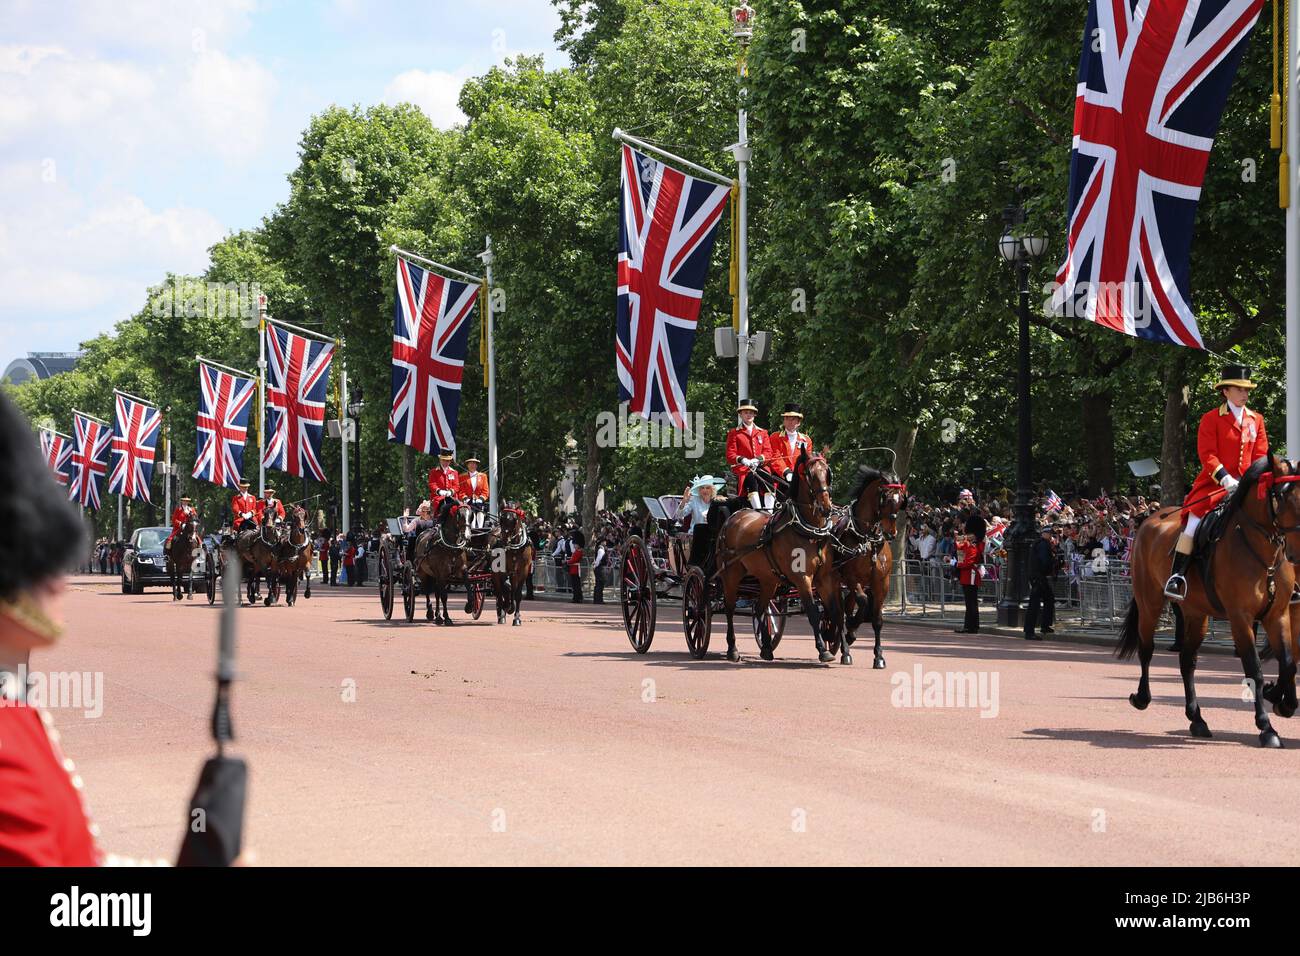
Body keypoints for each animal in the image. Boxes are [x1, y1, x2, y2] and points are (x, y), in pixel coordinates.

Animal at [712, 450, 842, 660]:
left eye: (827, 473)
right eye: (809, 474)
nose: (826, 507)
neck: (808, 531)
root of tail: (734, 516)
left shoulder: (825, 578)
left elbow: (833, 611)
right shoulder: (802, 578)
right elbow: (813, 612)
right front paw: (823, 650)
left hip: (768, 580)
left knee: (760, 608)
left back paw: (766, 647)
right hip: (731, 575)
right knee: (729, 609)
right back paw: (732, 649)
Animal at [832, 468, 904, 671]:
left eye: (901, 500)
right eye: (886, 499)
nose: (892, 533)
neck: (867, 540)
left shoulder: (881, 583)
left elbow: (877, 619)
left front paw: (879, 656)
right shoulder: (851, 578)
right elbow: (863, 602)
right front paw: (851, 629)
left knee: (847, 606)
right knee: (839, 613)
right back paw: (845, 649)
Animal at [1118, 455, 1300, 749]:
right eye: (1283, 496)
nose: (1296, 552)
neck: (1264, 556)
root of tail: (1150, 519)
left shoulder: (1278, 615)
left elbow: (1288, 663)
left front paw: (1281, 702)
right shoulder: (1240, 618)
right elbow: (1255, 670)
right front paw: (1266, 727)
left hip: (1196, 614)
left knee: (1187, 660)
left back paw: (1197, 719)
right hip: (1149, 603)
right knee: (1146, 649)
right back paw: (1142, 697)